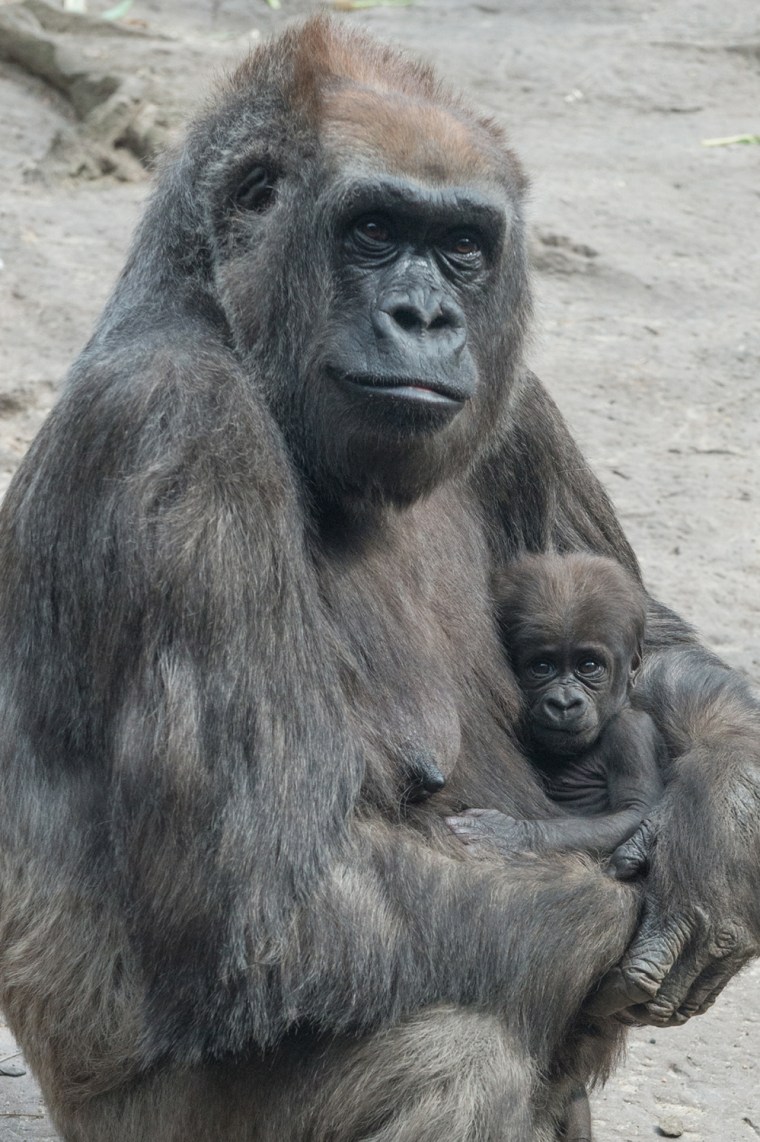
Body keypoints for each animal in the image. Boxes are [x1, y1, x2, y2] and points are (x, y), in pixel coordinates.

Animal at [450, 550, 662, 858]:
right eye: (541, 667)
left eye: (589, 666)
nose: (564, 703)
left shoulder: (632, 731)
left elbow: (633, 811)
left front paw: (514, 834)